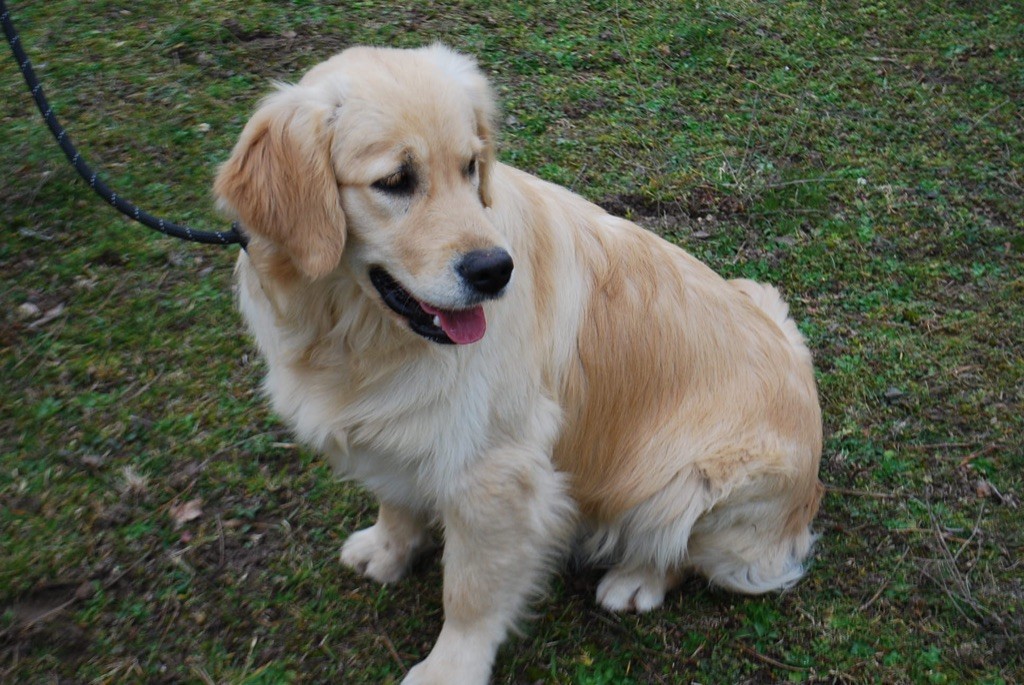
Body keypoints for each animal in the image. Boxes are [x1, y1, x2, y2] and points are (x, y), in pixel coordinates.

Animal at [214, 44, 823, 683]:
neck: (358, 333)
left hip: (694, 480)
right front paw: (387, 550)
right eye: (395, 181)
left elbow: (470, 592)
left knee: (682, 550)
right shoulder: (394, 431)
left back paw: (636, 579)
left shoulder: (494, 472)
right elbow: (396, 501)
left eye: (470, 167)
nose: (494, 271)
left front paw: (449, 669)